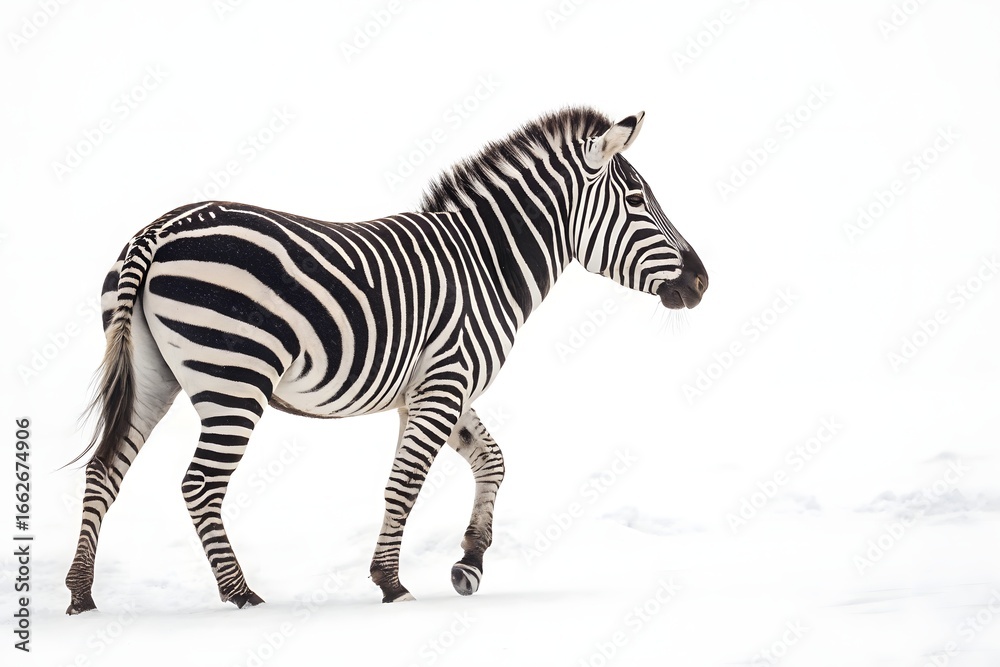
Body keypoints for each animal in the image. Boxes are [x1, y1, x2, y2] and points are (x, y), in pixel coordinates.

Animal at [65, 106, 708, 614]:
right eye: (637, 200)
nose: (702, 282)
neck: (486, 262)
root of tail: (157, 231)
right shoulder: (445, 381)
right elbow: (406, 482)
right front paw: (392, 584)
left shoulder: (436, 387)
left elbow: (492, 461)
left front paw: (469, 562)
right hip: (235, 379)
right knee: (199, 483)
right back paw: (240, 594)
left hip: (151, 377)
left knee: (103, 470)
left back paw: (81, 593)